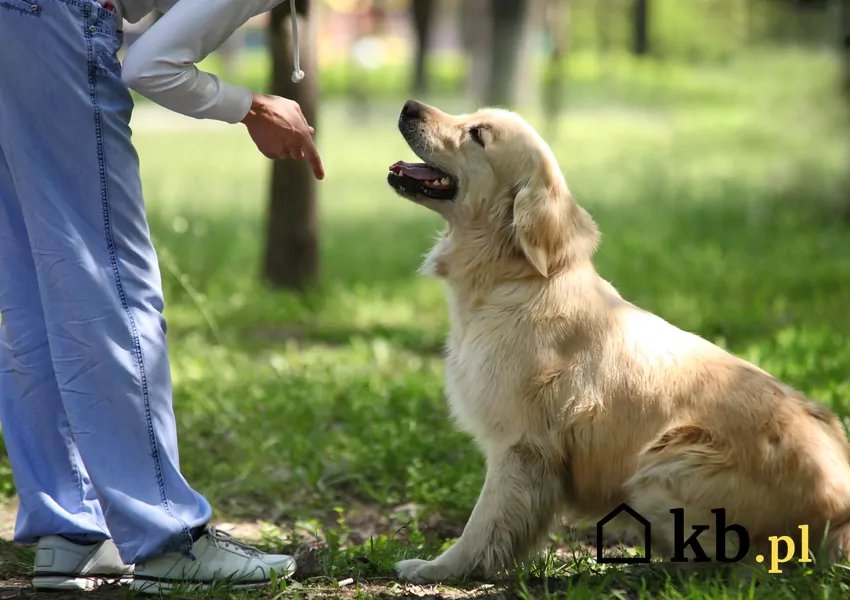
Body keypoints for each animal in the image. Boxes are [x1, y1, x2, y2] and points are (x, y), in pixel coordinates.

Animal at [386, 98, 850, 580]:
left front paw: (438, 568)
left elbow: (484, 524)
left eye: (477, 134)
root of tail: (842, 512)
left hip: (660, 470)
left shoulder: (521, 445)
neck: (514, 279)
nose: (409, 105)